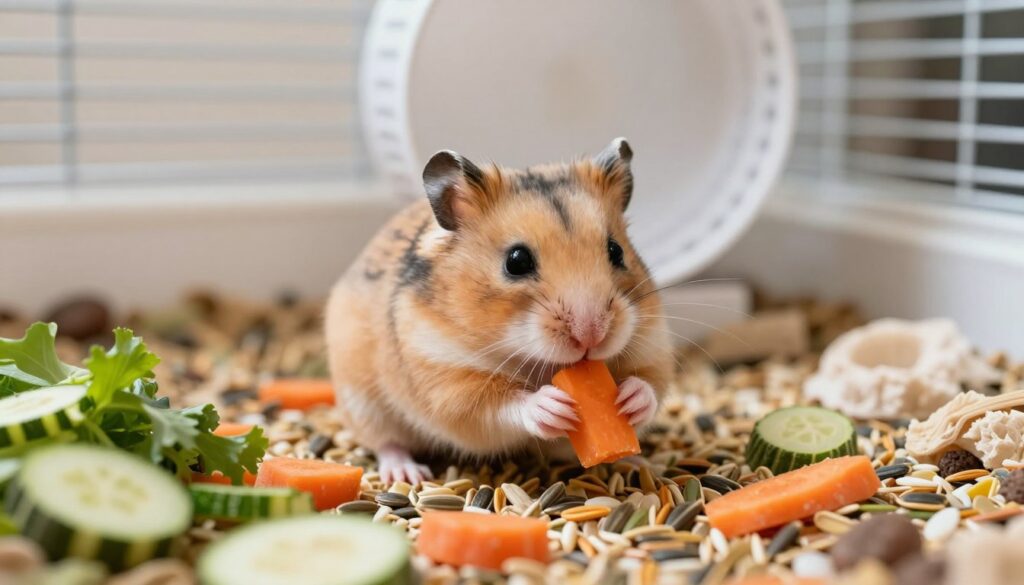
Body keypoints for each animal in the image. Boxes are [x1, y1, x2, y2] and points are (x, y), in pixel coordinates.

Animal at [325, 138, 674, 483]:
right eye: (516, 261)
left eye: (616, 251)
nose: (591, 336)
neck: (535, 361)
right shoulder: (445, 377)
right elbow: (499, 404)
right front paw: (552, 406)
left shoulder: (652, 346)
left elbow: (651, 384)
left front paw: (629, 399)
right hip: (363, 401)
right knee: (385, 443)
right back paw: (408, 474)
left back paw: (637, 463)